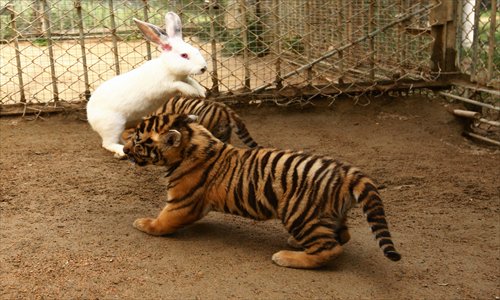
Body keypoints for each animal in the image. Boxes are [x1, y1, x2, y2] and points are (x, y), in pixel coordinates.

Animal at [86, 11, 207, 158]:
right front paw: (193, 92)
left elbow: (191, 81)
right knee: (108, 143)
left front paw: (201, 92)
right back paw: (121, 152)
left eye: (196, 50)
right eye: (184, 55)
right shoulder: (165, 85)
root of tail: (90, 117)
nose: (203, 68)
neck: (167, 67)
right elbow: (179, 85)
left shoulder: (185, 78)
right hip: (113, 125)